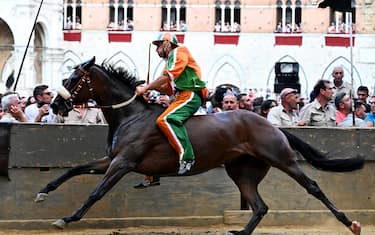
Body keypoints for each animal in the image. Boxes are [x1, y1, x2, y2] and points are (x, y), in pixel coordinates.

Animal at [35, 56, 364, 234]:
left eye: (74, 79)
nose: (56, 105)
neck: (130, 116)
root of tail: (269, 123)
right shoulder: (111, 160)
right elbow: (73, 170)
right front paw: (43, 192)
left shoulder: (123, 163)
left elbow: (96, 192)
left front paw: (67, 218)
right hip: (242, 171)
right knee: (259, 207)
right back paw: (239, 232)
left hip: (282, 159)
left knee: (313, 187)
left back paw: (350, 222)